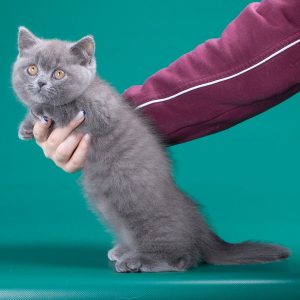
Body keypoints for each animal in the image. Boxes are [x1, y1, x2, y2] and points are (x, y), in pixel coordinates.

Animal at [12, 27, 290, 274]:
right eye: (32, 69)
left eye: (59, 73)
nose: (40, 82)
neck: (91, 87)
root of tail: (198, 225)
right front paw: (28, 126)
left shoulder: (100, 111)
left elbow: (67, 106)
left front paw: (41, 110)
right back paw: (124, 251)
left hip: (141, 212)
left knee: (183, 258)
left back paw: (138, 261)